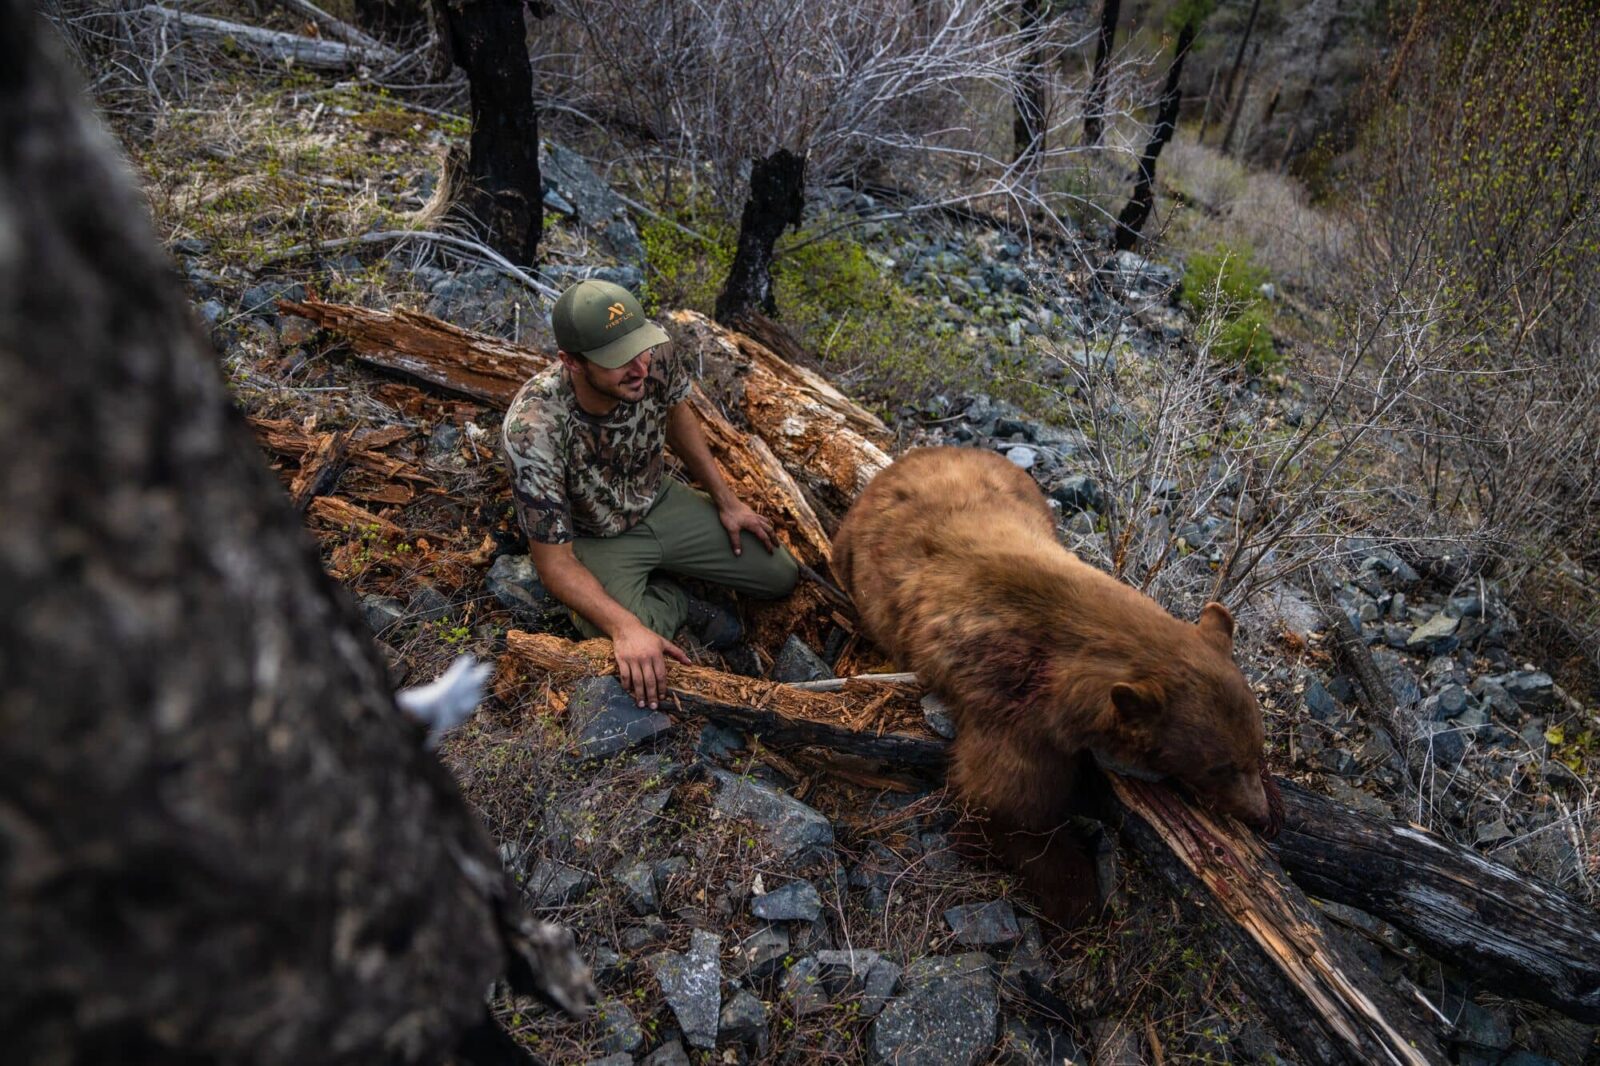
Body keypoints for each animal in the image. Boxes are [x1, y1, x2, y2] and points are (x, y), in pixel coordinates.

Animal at [838, 444, 1273, 921]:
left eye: (1257, 751)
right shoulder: (1016, 707)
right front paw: (1076, 891)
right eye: (1220, 768)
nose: (1261, 814)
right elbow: (1004, 805)